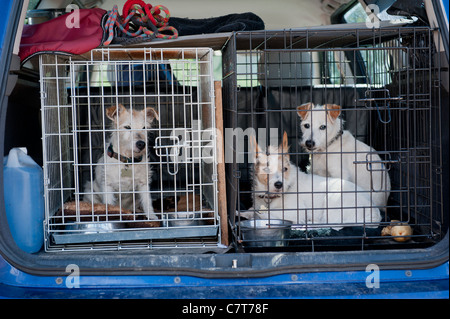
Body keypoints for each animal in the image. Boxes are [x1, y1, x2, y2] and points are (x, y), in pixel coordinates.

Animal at [244, 131, 382, 231]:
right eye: (266, 169)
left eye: (285, 169)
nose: (279, 185)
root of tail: (375, 214)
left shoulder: (295, 212)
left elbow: (268, 214)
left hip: (333, 199)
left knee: (332, 225)